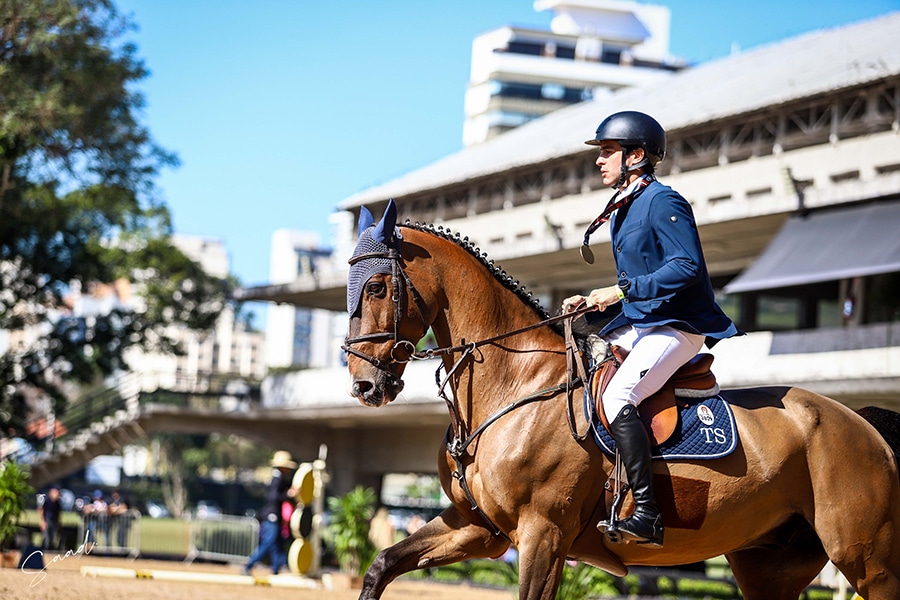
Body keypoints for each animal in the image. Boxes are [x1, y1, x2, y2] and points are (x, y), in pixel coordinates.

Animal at [342, 202, 900, 600]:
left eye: (377, 287)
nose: (365, 386)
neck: (514, 384)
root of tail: (863, 423)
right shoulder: (477, 527)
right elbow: (381, 565)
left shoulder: (543, 535)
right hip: (769, 566)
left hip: (866, 558)